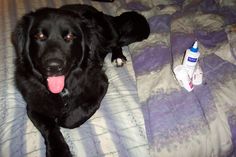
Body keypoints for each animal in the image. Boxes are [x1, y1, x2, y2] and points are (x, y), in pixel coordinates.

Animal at [11, 3, 149, 157]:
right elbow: (49, 127)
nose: (53, 66)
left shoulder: (100, 84)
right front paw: (58, 151)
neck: (64, 88)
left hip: (108, 37)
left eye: (70, 36)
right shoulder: (34, 105)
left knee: (117, 42)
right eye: (39, 36)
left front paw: (64, 118)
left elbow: (74, 117)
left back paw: (118, 57)